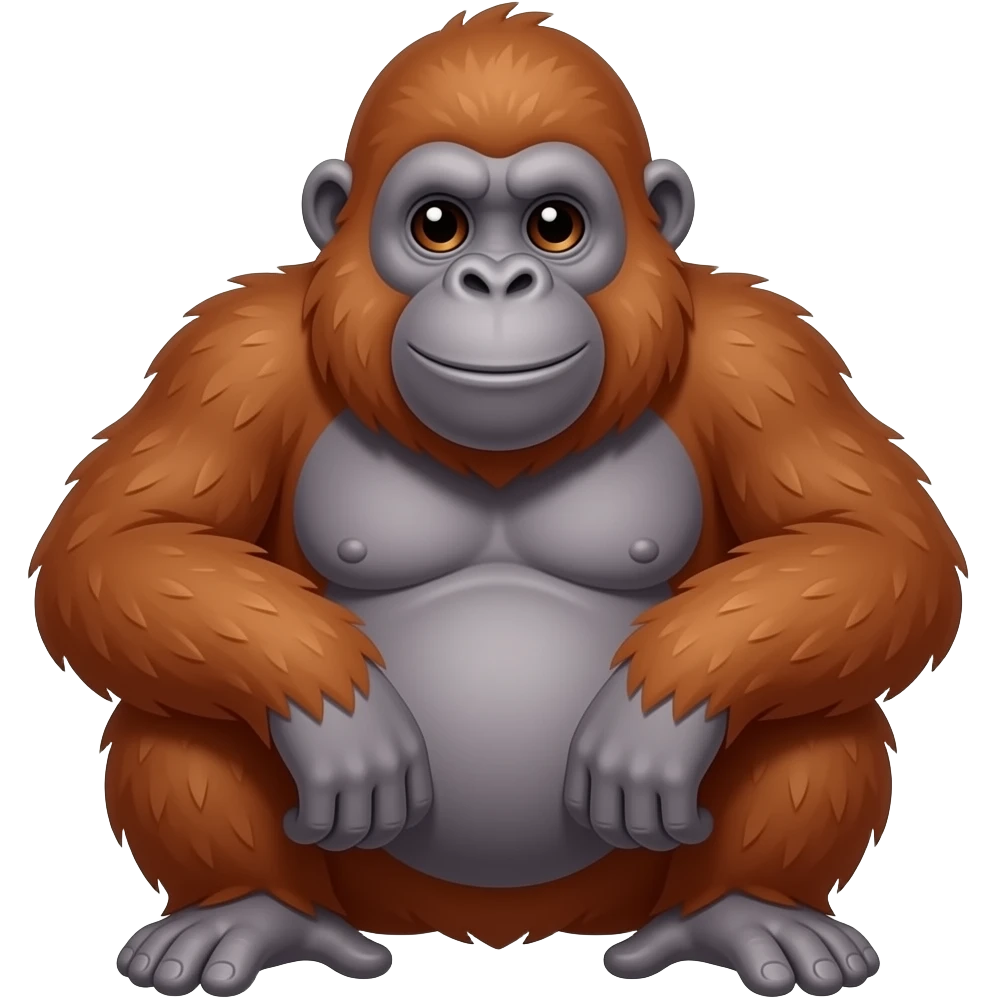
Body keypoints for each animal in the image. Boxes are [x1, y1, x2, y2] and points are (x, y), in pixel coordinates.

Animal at [27, 5, 967, 996]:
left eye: (555, 225)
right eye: (439, 224)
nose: (498, 281)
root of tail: (504, 922)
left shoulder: (764, 354)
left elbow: (870, 542)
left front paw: (653, 719)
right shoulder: (232, 355)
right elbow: (126, 542)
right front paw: (342, 719)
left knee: (821, 694)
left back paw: (742, 910)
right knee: (175, 694)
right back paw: (253, 911)